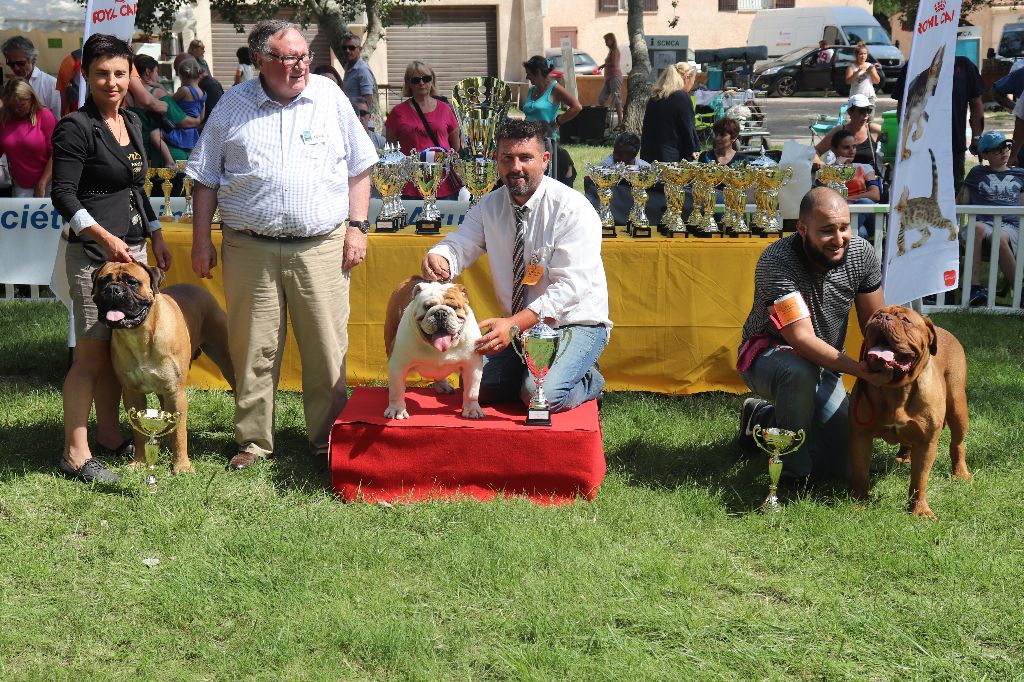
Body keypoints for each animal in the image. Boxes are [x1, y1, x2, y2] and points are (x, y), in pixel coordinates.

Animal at [92, 260, 235, 473]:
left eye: (132, 282)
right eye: (103, 281)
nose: (113, 290)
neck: (140, 335)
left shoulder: (176, 392)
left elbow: (180, 433)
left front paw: (182, 466)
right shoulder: (132, 393)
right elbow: (140, 433)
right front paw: (139, 462)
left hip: (225, 359)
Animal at [851, 303, 970, 516]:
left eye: (905, 320)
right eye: (875, 316)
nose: (883, 317)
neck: (896, 388)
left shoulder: (926, 442)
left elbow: (919, 480)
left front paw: (920, 510)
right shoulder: (861, 436)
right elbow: (860, 473)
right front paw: (859, 502)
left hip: (957, 407)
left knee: (957, 443)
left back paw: (960, 473)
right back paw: (904, 456)